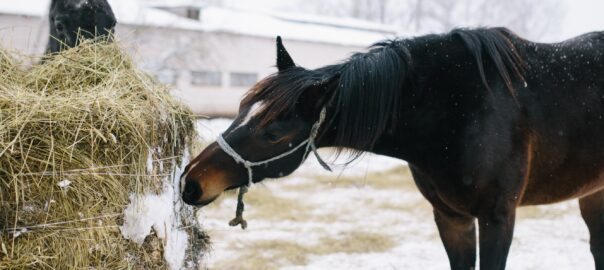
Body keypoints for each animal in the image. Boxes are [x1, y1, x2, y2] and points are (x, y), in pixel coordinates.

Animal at [182, 28, 604, 270]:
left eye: (272, 134)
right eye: (240, 109)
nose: (191, 183)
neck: (457, 106)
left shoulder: (498, 217)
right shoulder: (450, 217)